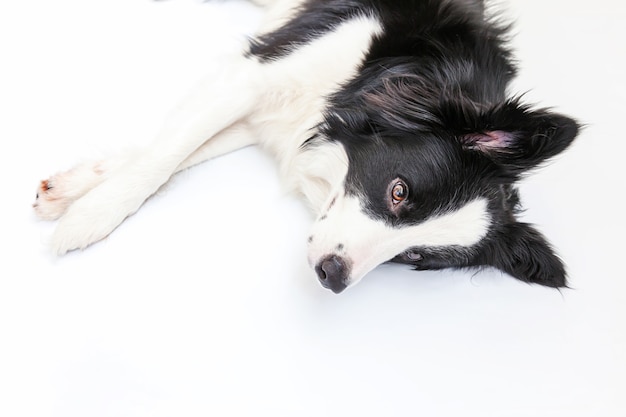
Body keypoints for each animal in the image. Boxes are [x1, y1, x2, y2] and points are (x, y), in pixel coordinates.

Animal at [34, 0, 576, 292]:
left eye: (414, 256)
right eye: (399, 191)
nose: (333, 276)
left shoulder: (274, 117)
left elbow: (171, 154)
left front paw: (74, 189)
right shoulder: (256, 74)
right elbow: (165, 154)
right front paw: (89, 218)